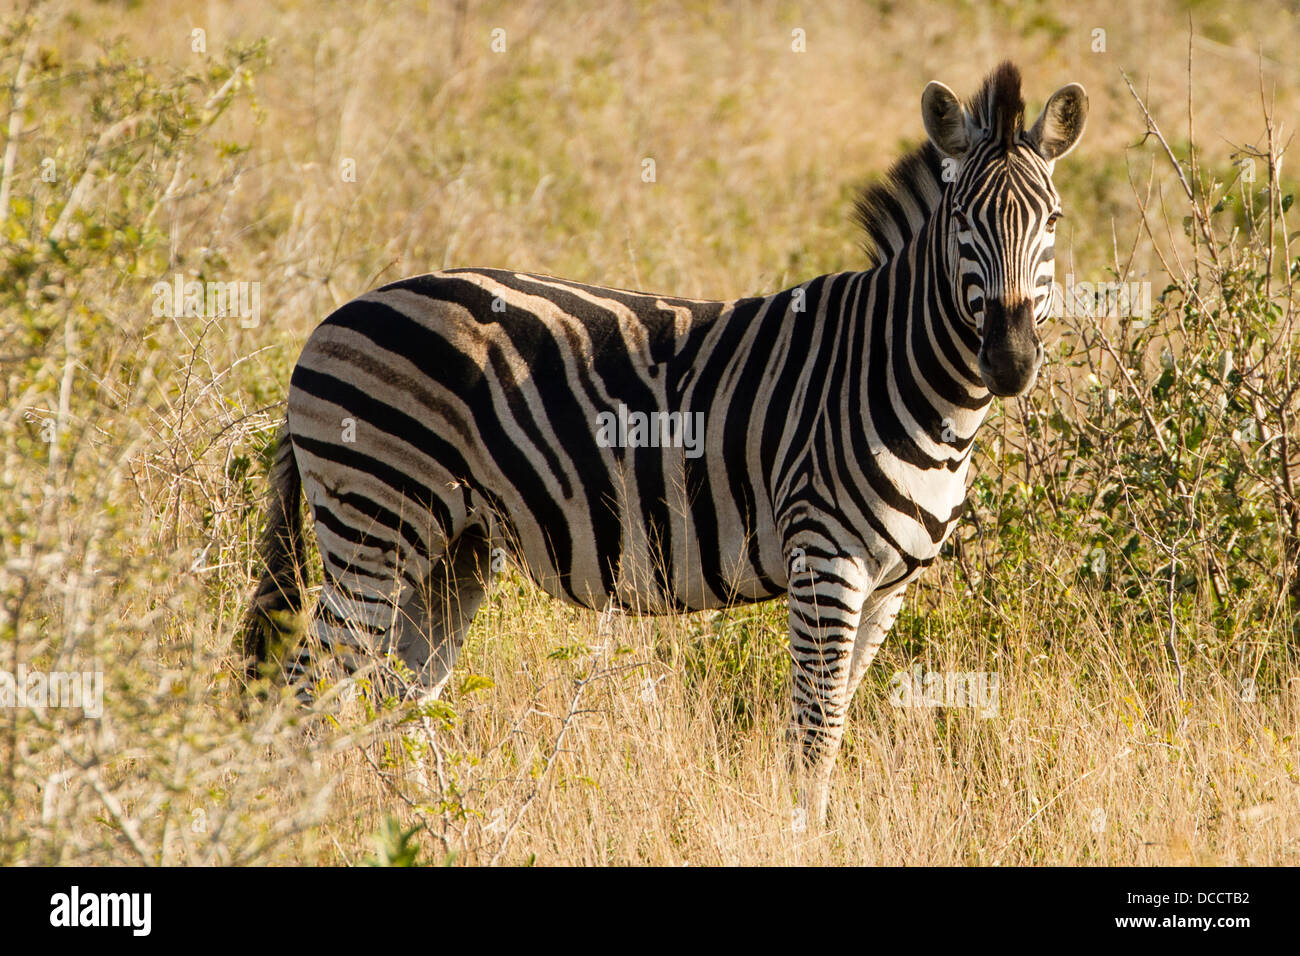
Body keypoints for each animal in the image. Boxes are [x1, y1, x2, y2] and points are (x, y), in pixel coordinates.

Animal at [241, 61, 1086, 822]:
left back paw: (424, 824)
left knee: (400, 694)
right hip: (375, 519)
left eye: (1053, 222)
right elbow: (814, 733)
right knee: (305, 689)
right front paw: (803, 839)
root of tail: (334, 317)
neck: (902, 379)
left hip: (454, 545)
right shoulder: (826, 559)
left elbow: (837, 724)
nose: (1010, 360)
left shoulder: (889, 585)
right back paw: (285, 827)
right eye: (962, 221)